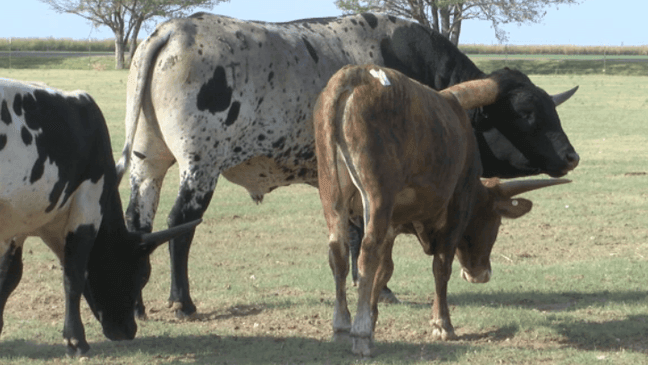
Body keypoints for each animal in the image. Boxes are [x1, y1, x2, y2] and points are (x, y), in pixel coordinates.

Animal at [0, 79, 199, 356]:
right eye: (142, 274)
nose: (129, 331)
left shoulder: (19, 223)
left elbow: (8, 276)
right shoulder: (88, 207)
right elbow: (73, 275)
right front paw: (76, 340)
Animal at [119, 12, 580, 318]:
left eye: (548, 108)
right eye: (527, 114)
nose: (571, 156)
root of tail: (173, 29)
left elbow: (357, 231)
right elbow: (369, 231)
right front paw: (381, 287)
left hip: (148, 162)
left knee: (139, 225)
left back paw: (136, 305)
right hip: (201, 165)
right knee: (180, 226)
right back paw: (182, 302)